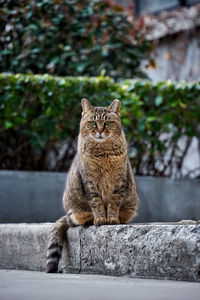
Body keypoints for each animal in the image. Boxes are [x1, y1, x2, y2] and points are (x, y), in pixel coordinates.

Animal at [46, 99, 138, 274]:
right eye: (93, 122)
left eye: (107, 122)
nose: (100, 130)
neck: (103, 153)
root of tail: (69, 213)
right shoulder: (89, 183)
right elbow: (97, 204)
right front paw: (101, 218)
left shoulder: (119, 182)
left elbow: (113, 203)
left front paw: (112, 218)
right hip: (76, 209)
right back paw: (90, 219)